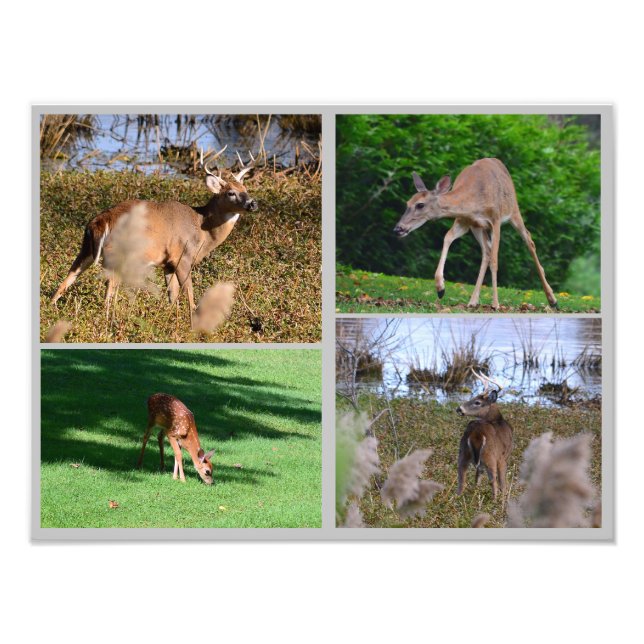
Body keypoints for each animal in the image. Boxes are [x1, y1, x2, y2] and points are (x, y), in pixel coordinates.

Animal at [50, 146, 258, 312]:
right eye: (231, 193)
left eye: (246, 189)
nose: (253, 203)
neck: (202, 230)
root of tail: (101, 220)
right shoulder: (183, 256)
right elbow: (189, 294)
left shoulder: (168, 263)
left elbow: (172, 295)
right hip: (117, 253)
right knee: (109, 289)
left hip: (87, 248)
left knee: (69, 277)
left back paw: (51, 307)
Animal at [393, 158, 558, 310]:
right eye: (407, 203)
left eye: (420, 205)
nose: (397, 229)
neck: (474, 202)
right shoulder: (464, 221)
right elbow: (447, 237)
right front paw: (440, 288)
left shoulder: (495, 220)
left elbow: (495, 261)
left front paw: (496, 304)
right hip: (479, 228)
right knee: (486, 251)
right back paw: (472, 301)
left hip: (514, 211)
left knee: (529, 240)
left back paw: (552, 300)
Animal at [456, 369, 513, 499]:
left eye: (477, 402)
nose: (459, 409)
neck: (497, 419)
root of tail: (476, 435)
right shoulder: (503, 458)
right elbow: (503, 483)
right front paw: (504, 499)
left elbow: (477, 479)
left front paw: (475, 493)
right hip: (490, 456)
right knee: (493, 481)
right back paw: (495, 501)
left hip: (463, 453)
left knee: (461, 478)